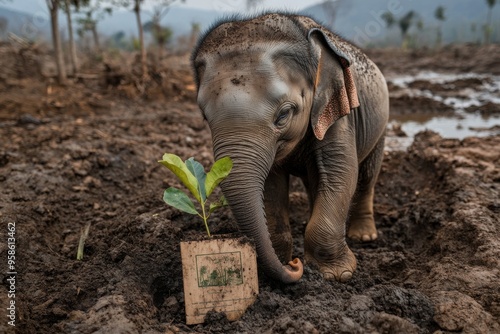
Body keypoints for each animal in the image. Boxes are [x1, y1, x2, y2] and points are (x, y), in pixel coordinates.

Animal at [191, 14, 390, 284]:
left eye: (284, 114)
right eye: (204, 116)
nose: (296, 265)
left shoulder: (337, 115)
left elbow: (341, 173)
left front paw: (338, 275)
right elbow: (271, 184)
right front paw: (283, 260)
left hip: (381, 125)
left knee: (368, 175)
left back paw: (364, 236)